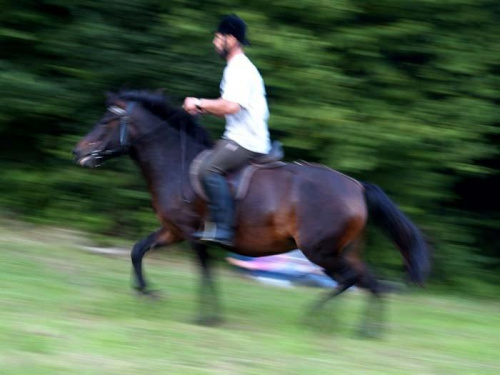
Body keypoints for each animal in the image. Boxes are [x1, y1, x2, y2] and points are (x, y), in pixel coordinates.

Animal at [73, 90, 430, 334]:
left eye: (105, 121)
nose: (78, 152)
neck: (176, 165)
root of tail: (356, 187)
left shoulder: (193, 235)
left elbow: (204, 273)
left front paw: (206, 316)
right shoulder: (172, 231)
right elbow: (137, 251)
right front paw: (147, 293)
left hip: (320, 250)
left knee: (352, 279)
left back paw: (316, 317)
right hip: (342, 250)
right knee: (369, 281)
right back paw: (365, 330)